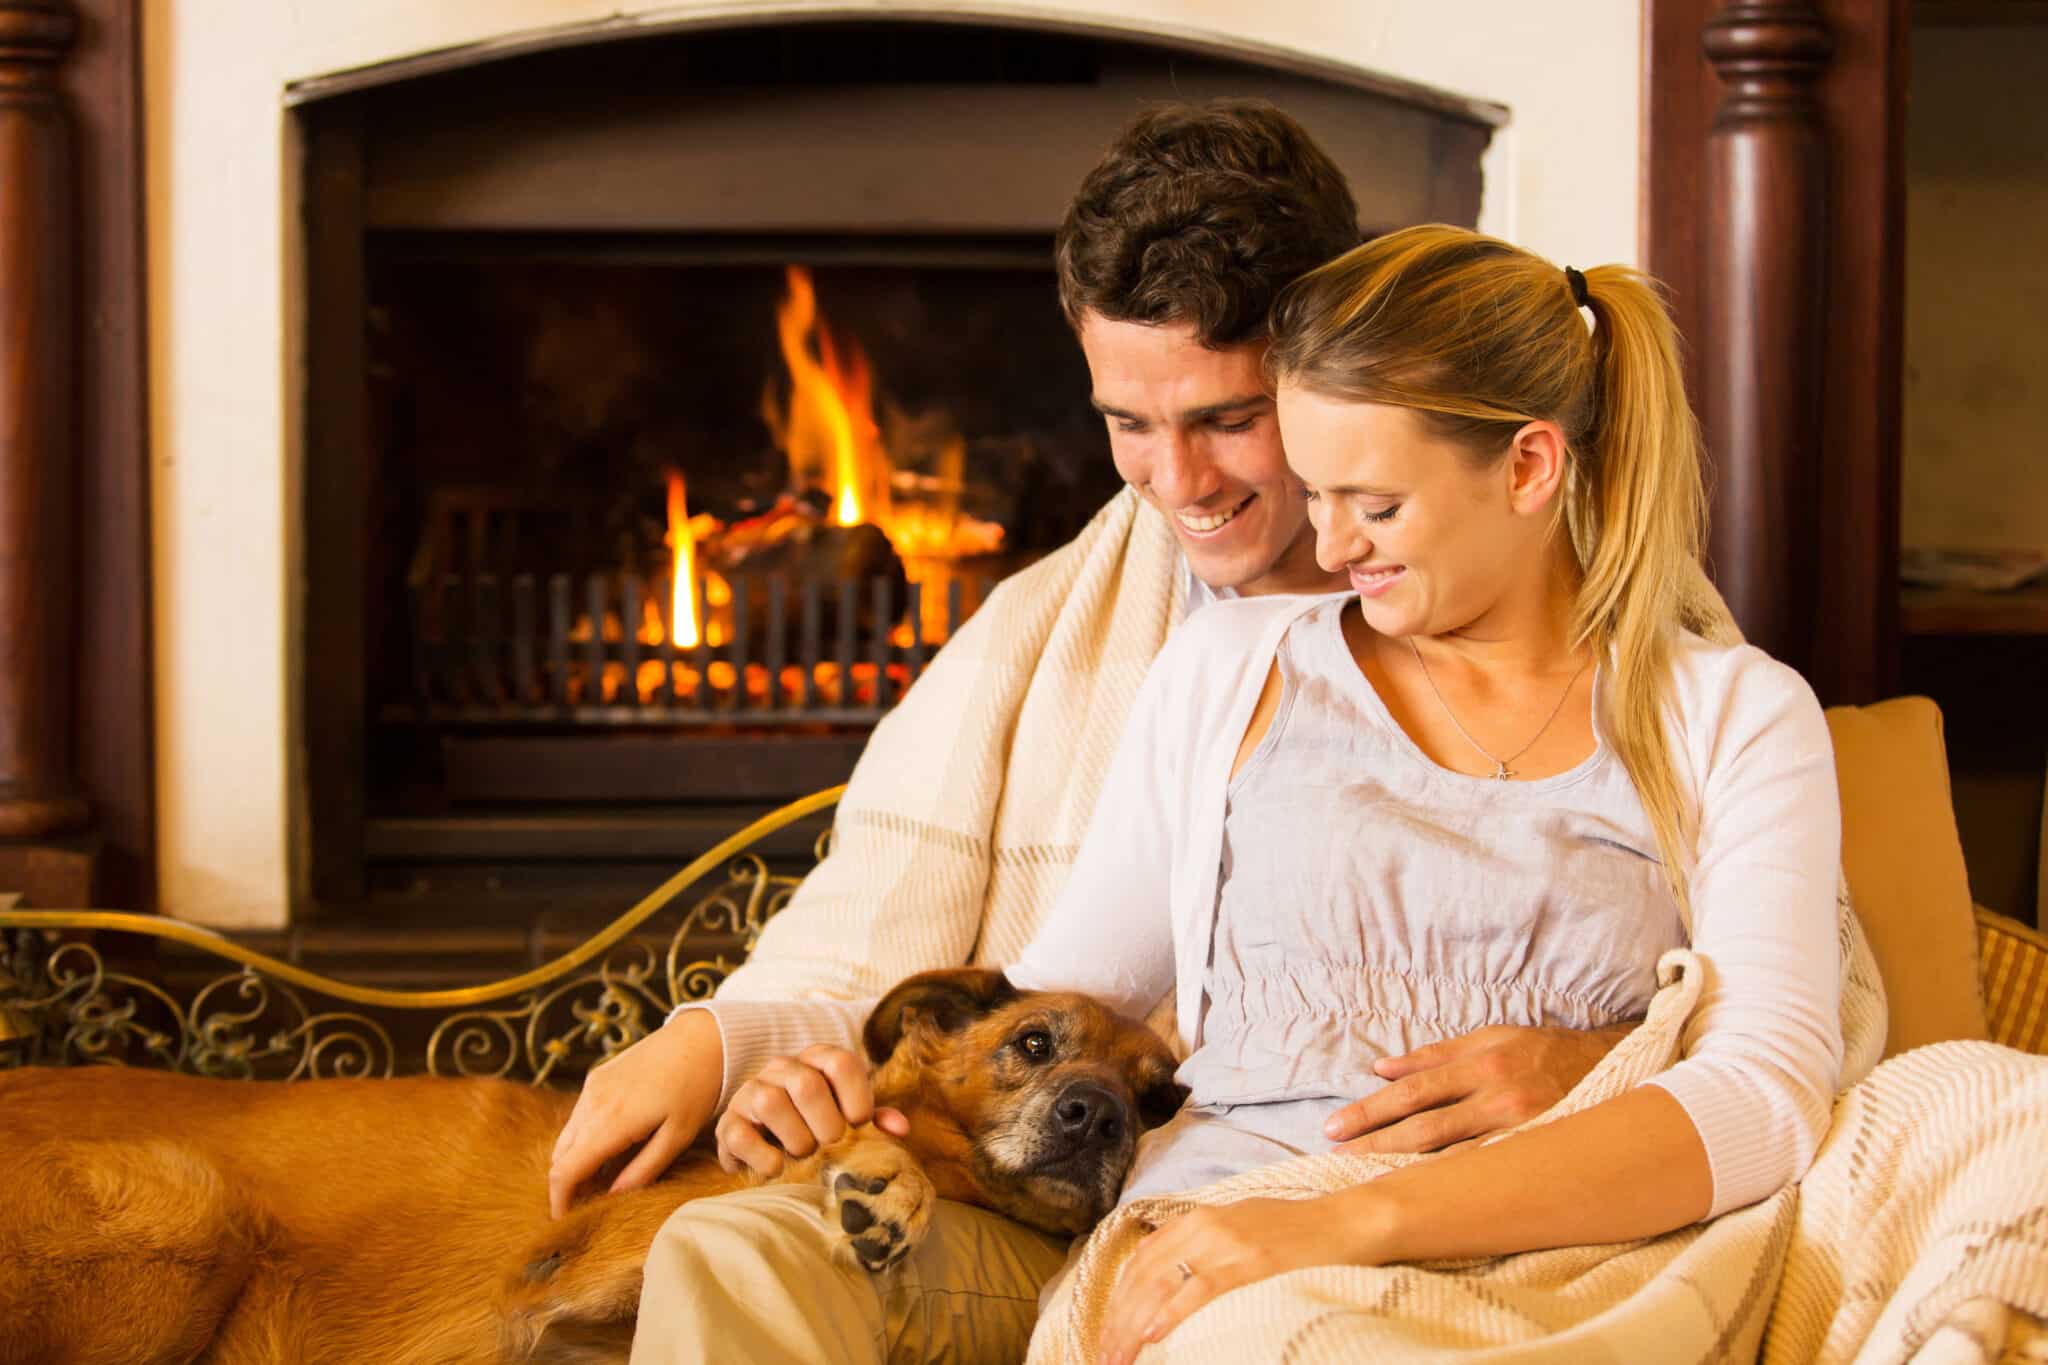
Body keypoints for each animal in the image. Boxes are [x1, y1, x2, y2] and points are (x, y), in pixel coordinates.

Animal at [0, 965, 1187, 1358]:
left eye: (1159, 1098)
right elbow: (854, 1150)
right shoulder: (571, 1266)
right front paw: (877, 1178)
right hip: (189, 1211)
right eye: (1032, 1043)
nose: (1097, 1118)